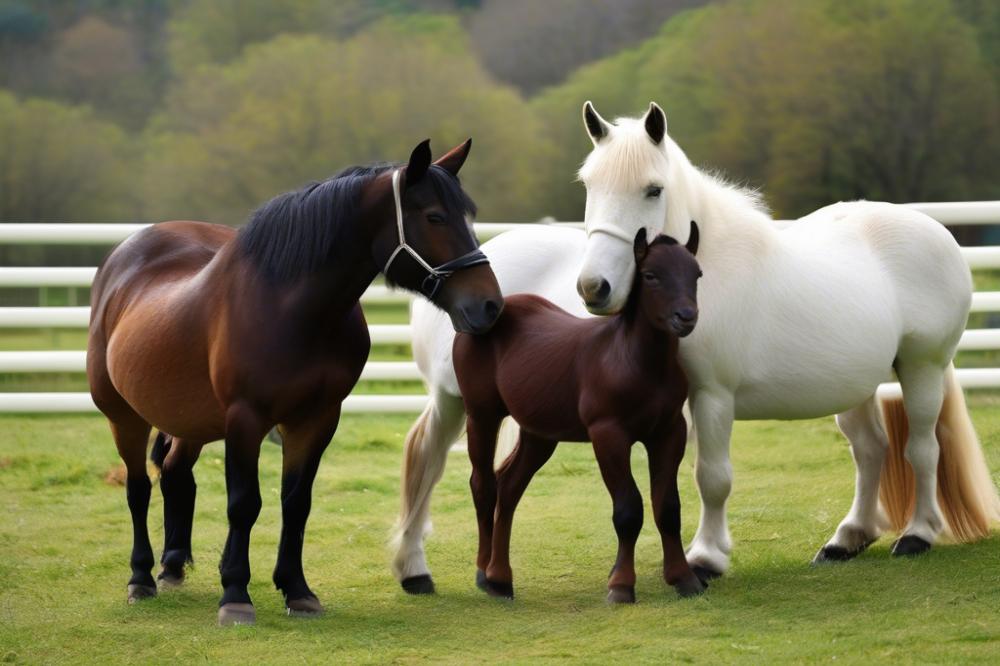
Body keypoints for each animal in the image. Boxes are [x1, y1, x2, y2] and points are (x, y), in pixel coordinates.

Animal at [89, 136, 504, 624]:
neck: (292, 308)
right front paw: (235, 594)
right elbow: (244, 504)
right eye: (435, 216)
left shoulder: (317, 419)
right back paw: (140, 578)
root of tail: (123, 258)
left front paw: (296, 589)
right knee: (138, 488)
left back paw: (171, 568)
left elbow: (296, 503)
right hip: (123, 415)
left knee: (175, 476)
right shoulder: (246, 419)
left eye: (468, 216)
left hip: (190, 418)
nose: (489, 305)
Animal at [454, 224, 704, 600]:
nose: (686, 317)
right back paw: (485, 572)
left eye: (696, 274)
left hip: (539, 433)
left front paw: (683, 578)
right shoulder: (609, 435)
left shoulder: (668, 433)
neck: (636, 362)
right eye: (651, 275)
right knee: (484, 485)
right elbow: (628, 509)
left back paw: (500, 577)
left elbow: (668, 507)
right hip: (482, 416)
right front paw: (620, 585)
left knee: (509, 486)